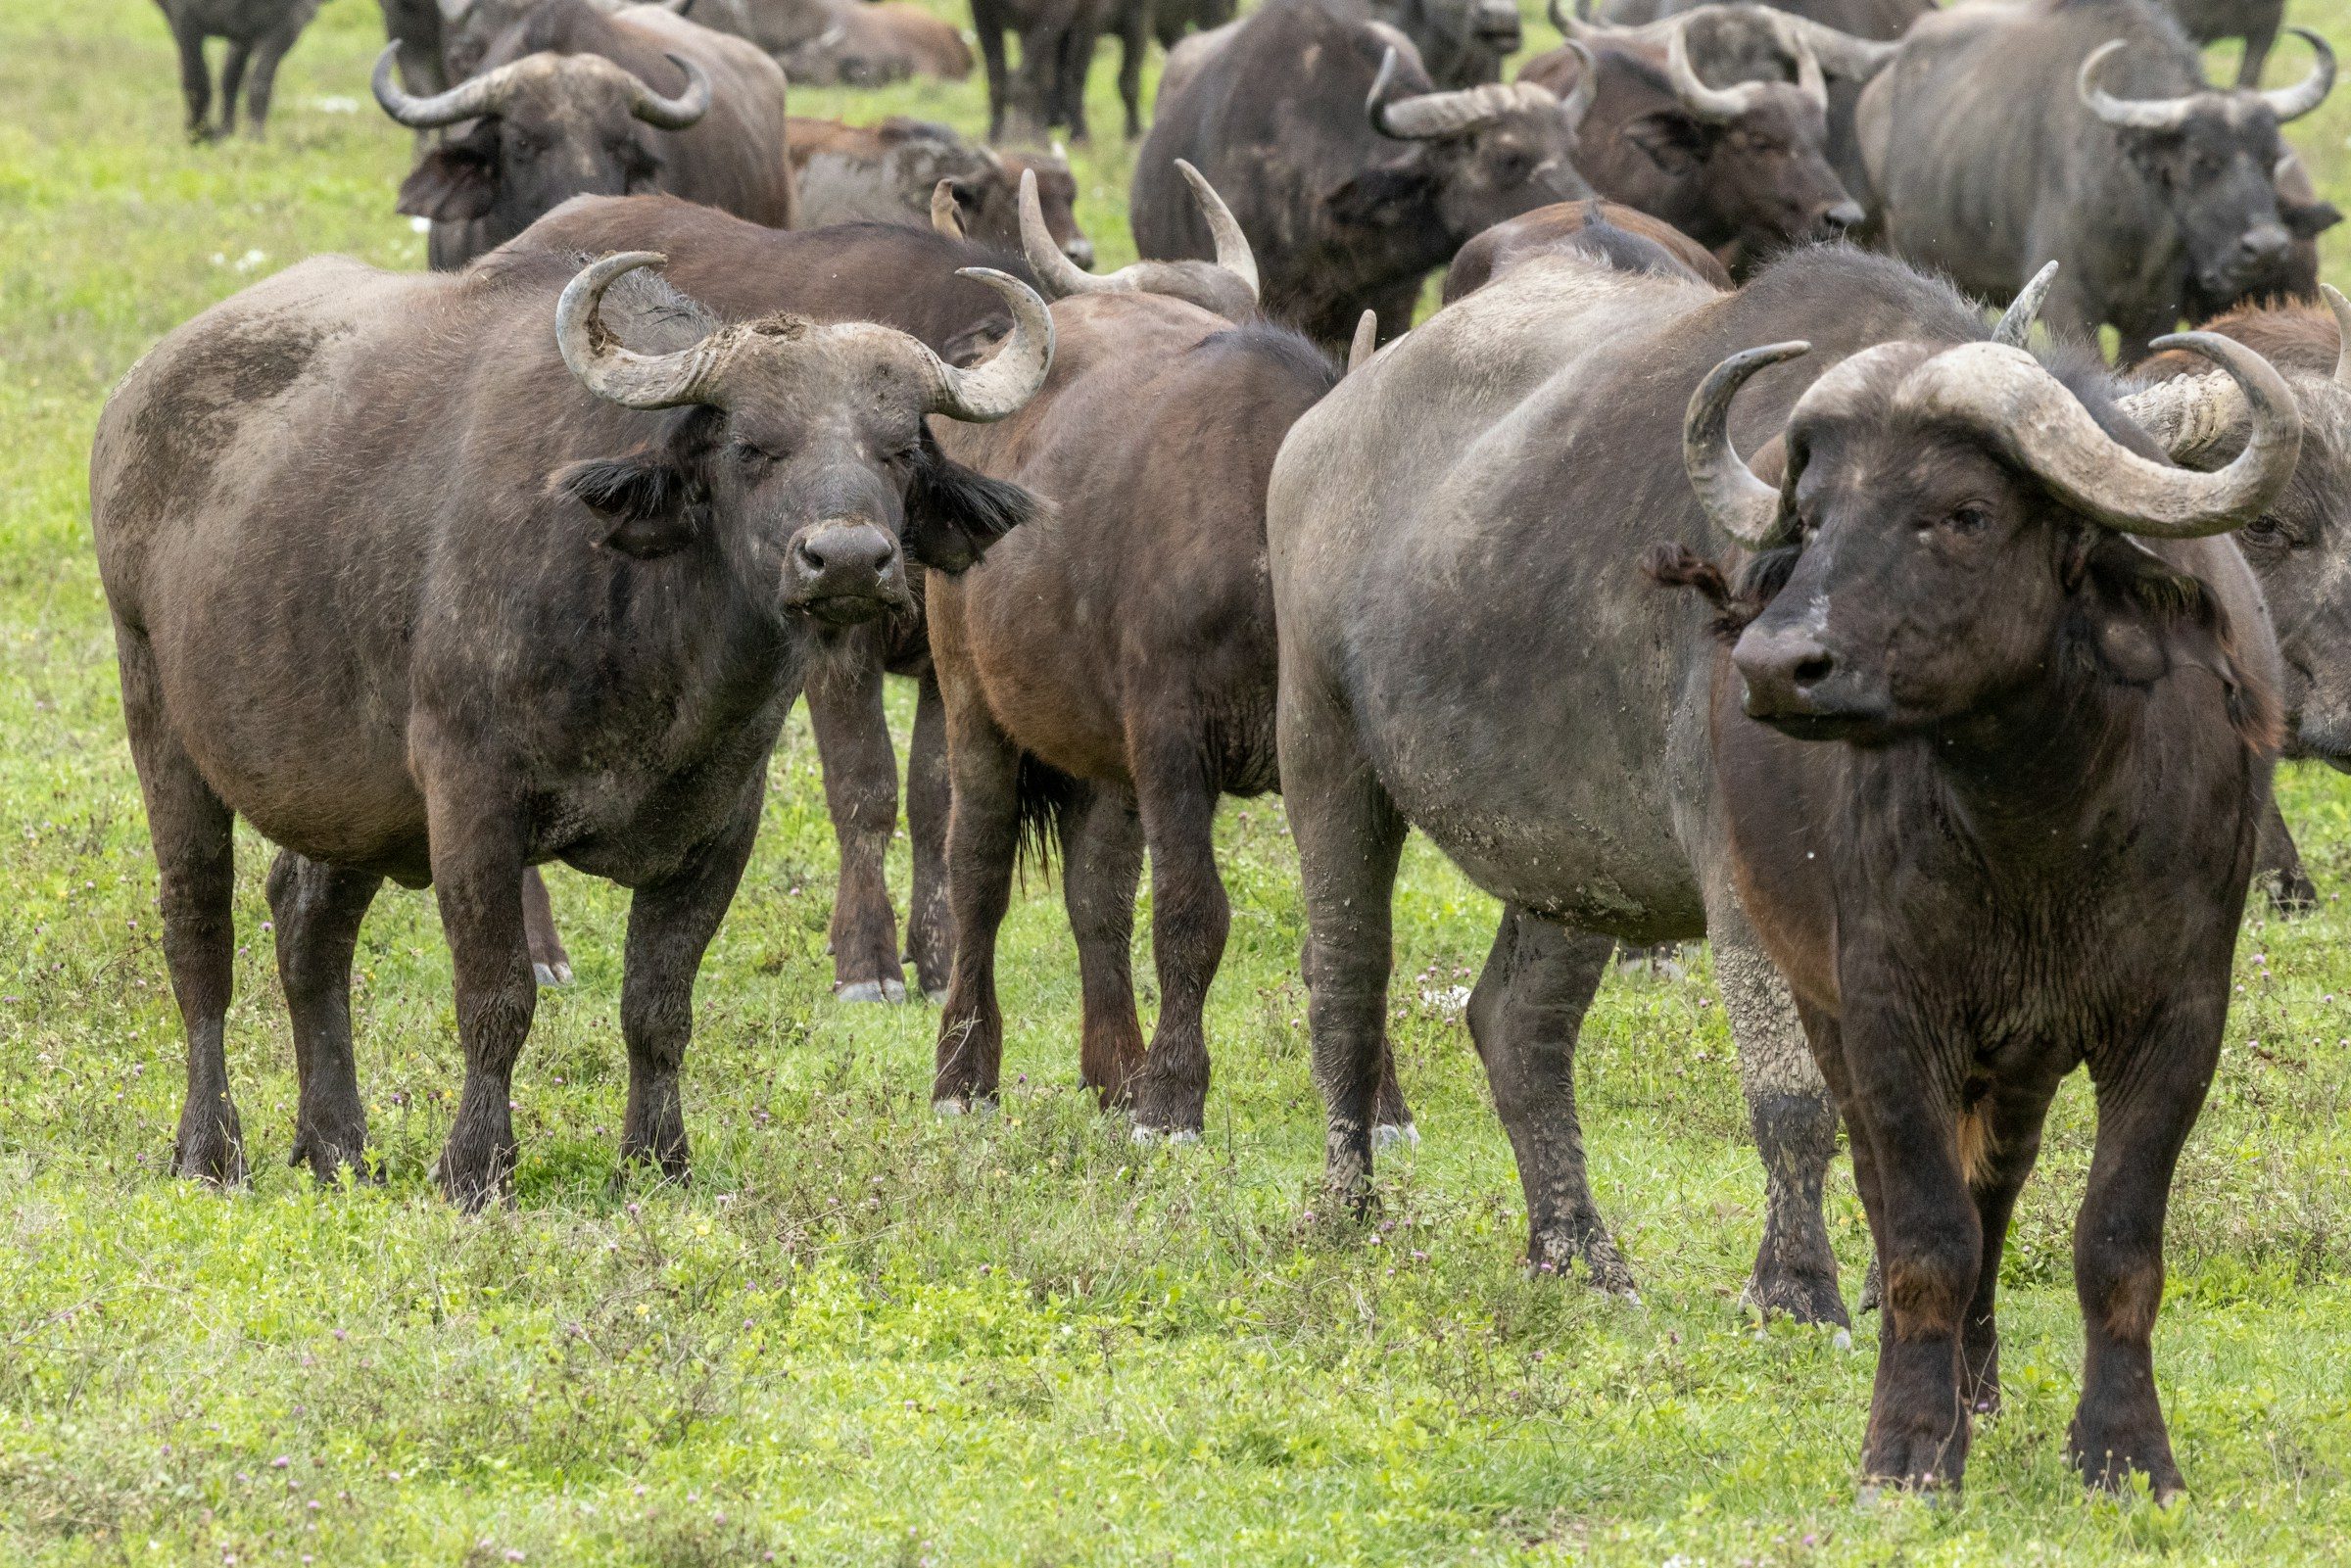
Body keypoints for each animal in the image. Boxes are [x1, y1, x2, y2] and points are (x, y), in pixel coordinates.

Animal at [91, 239, 1052, 1206]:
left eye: (899, 450)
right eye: (752, 446)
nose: (848, 559)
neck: (653, 638)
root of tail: (133, 401)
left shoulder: (721, 825)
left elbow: (658, 1007)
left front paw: (657, 1159)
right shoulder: (470, 802)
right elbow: (498, 997)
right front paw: (476, 1167)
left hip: (346, 795)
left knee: (306, 923)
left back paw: (336, 1146)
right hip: (156, 710)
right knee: (198, 936)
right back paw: (210, 1149)